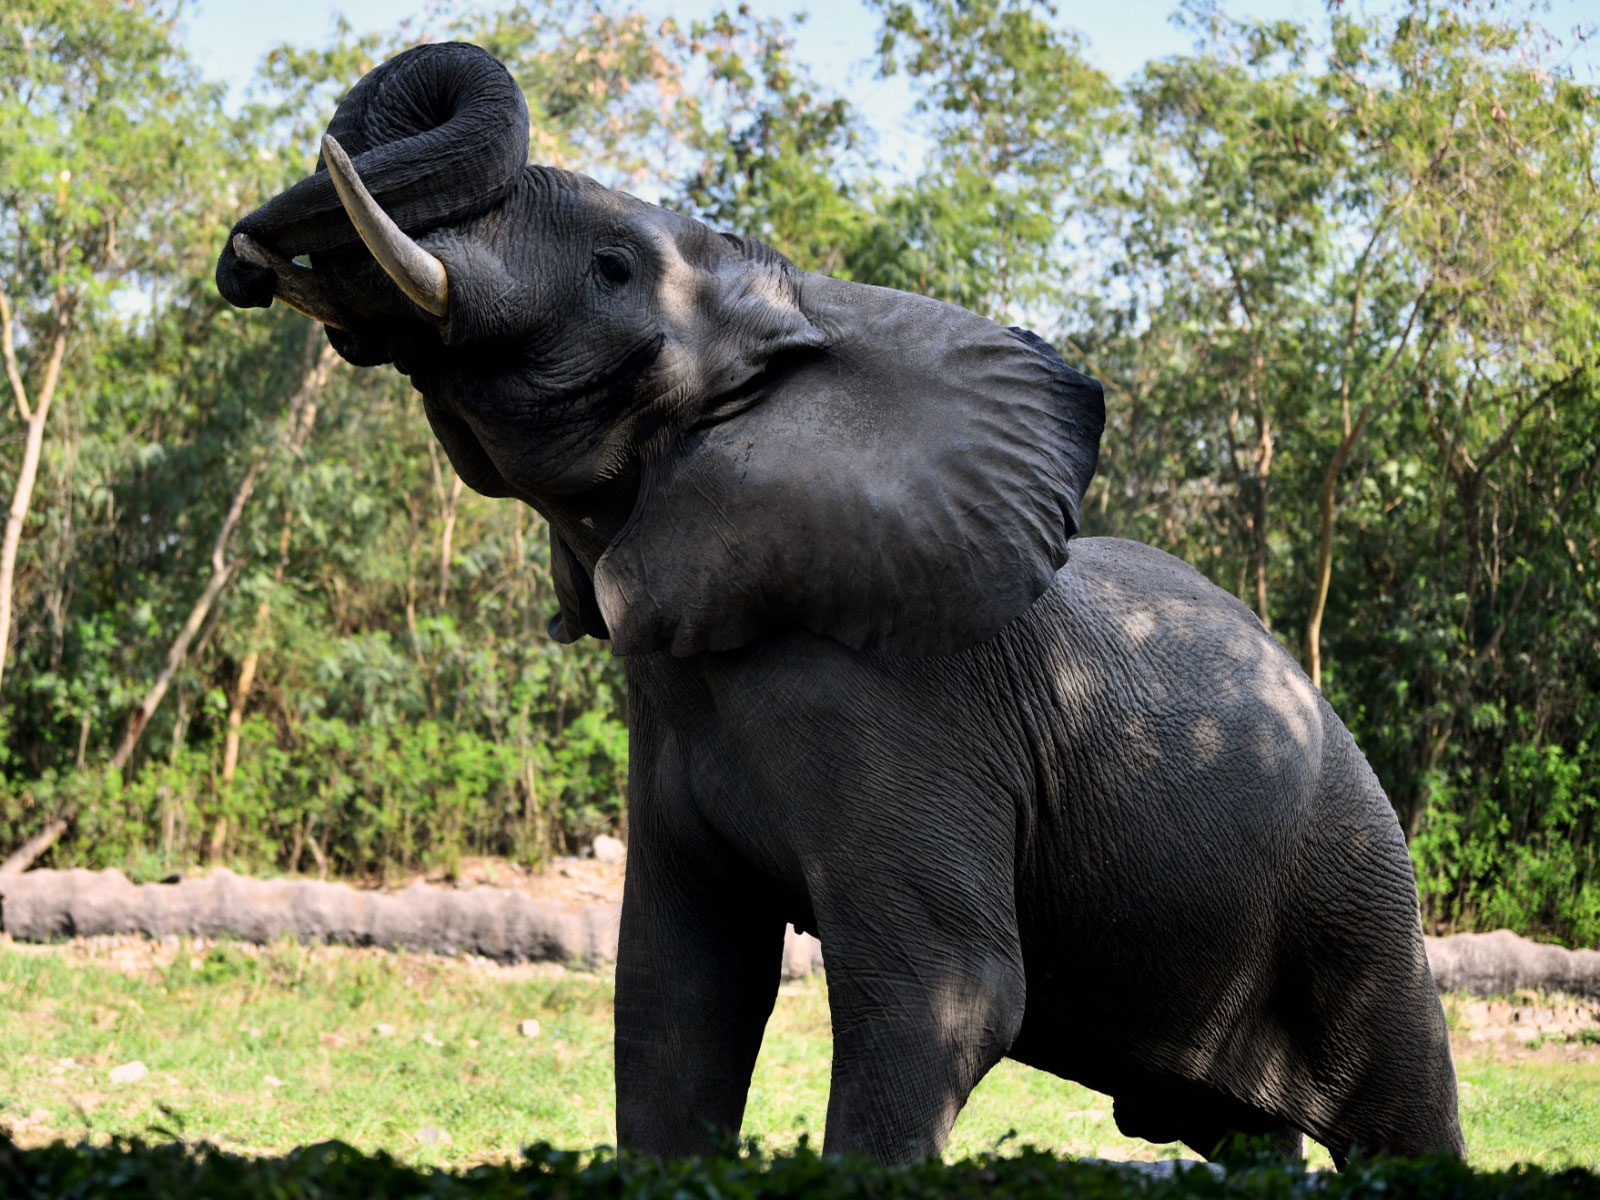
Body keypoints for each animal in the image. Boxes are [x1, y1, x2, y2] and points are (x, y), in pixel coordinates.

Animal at [215, 42, 1464, 1167]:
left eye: (612, 268)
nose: (247, 262)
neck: (801, 328)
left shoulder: (908, 711)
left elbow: (947, 989)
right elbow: (678, 992)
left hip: (1356, 893)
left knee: (1402, 1116)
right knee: (1245, 1139)